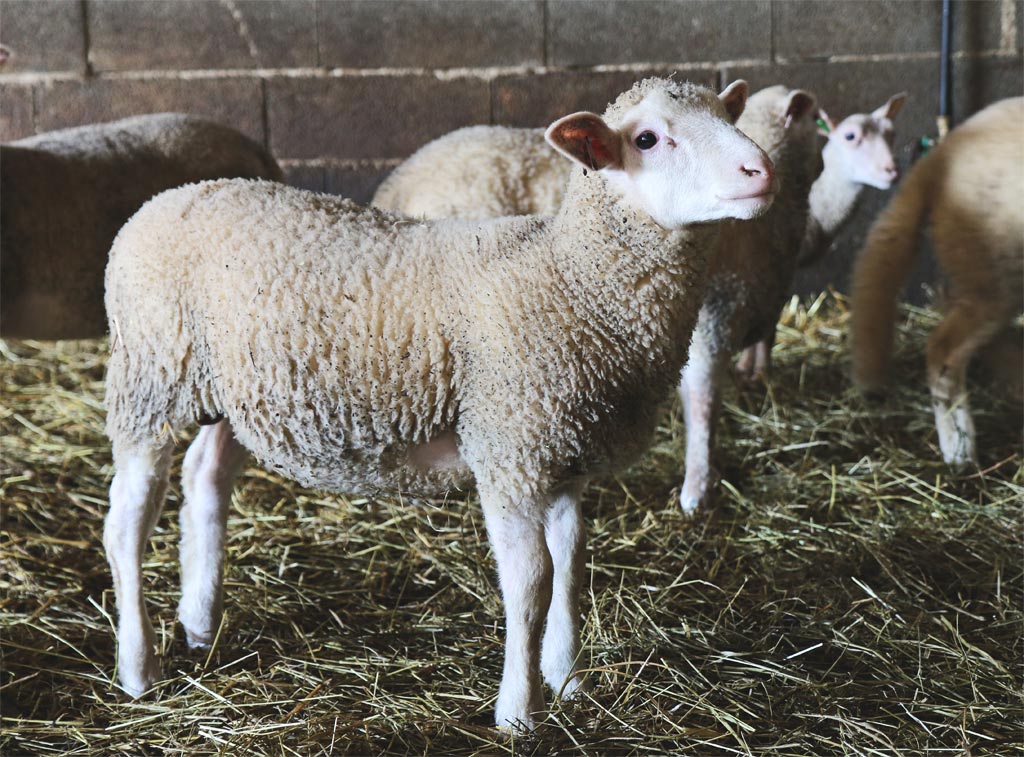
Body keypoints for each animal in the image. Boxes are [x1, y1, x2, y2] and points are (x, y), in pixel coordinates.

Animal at [102, 77, 776, 732]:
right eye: (647, 139)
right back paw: (139, 668)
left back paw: (199, 621)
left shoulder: (562, 454)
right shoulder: (511, 449)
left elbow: (572, 563)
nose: (761, 169)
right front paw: (520, 711)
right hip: (150, 378)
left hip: (242, 393)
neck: (571, 279)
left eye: (727, 115)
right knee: (128, 521)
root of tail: (165, 200)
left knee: (205, 478)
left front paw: (569, 678)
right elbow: (531, 580)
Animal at [676, 85, 822, 513]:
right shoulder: (767, 287)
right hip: (711, 321)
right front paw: (758, 373)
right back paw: (698, 487)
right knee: (703, 397)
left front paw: (749, 373)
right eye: (816, 120)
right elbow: (767, 337)